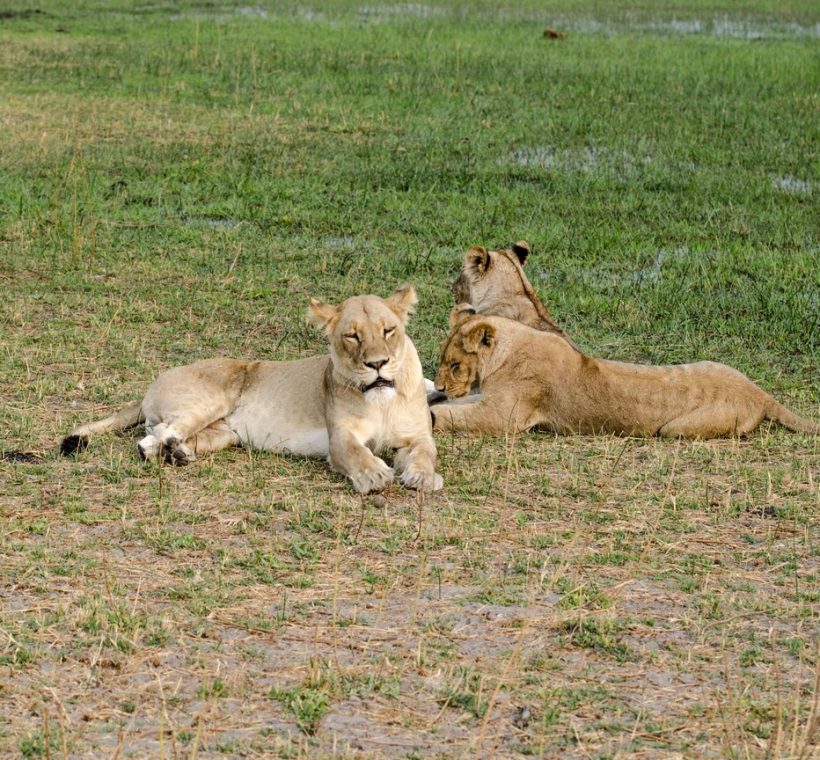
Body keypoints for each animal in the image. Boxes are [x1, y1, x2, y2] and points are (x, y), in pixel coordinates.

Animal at [60, 285, 443, 494]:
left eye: (388, 330)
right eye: (352, 336)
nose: (377, 364)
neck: (381, 400)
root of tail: (151, 385)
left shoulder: (418, 435)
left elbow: (426, 452)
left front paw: (423, 476)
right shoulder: (340, 438)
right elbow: (356, 454)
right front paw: (375, 475)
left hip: (224, 433)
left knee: (155, 438)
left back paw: (177, 454)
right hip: (211, 399)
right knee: (159, 432)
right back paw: (171, 450)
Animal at [431, 306, 819, 438]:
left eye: (455, 365)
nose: (442, 385)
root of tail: (758, 392)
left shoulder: (505, 416)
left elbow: (455, 415)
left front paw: (433, 413)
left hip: (676, 430)